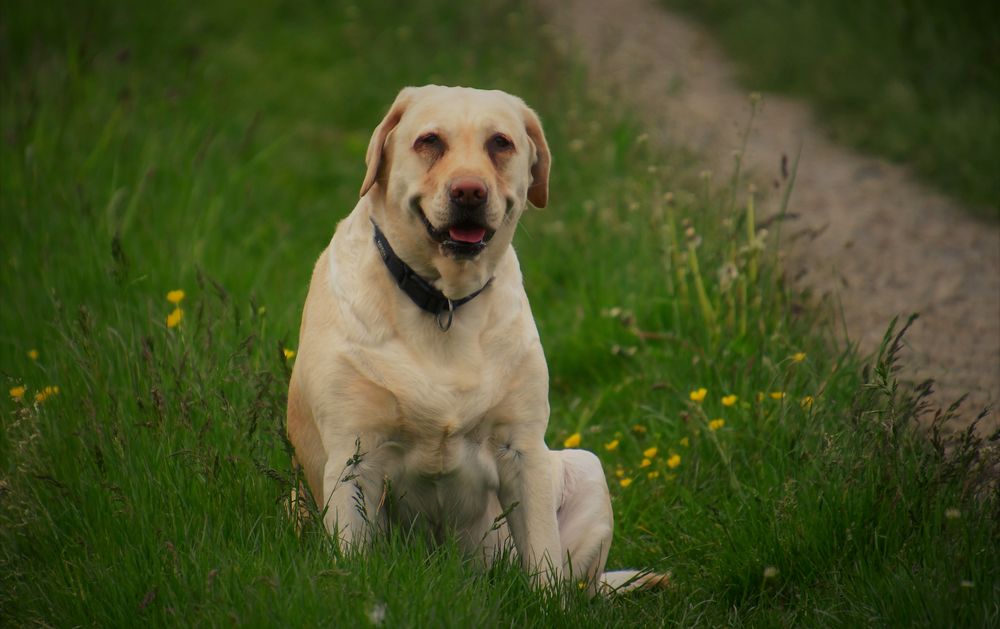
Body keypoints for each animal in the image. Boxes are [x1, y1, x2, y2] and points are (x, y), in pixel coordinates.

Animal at [288, 84, 664, 592]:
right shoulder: (353, 457)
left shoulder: (523, 450)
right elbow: (351, 557)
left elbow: (542, 558)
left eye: (499, 143)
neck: (444, 302)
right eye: (429, 141)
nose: (469, 190)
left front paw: (544, 603)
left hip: (585, 467)